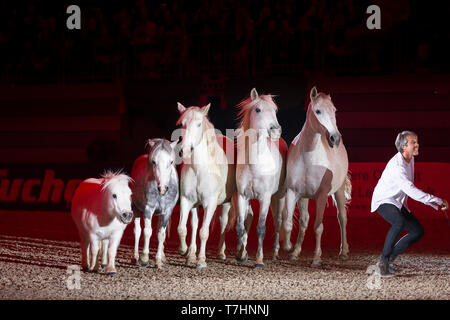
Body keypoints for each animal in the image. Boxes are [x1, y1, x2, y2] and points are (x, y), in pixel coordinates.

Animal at [129, 139, 178, 268]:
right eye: (154, 162)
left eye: (171, 161)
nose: (162, 188)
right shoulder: (148, 209)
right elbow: (147, 232)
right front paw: (145, 258)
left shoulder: (167, 212)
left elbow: (161, 234)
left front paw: (159, 260)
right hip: (136, 209)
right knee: (137, 231)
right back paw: (136, 257)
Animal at [177, 102, 237, 268]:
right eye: (182, 124)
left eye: (199, 124)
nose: (184, 150)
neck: (199, 169)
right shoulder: (186, 200)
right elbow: (182, 228)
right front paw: (185, 251)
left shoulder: (210, 203)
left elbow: (204, 232)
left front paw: (201, 260)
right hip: (196, 205)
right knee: (194, 224)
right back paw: (191, 254)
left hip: (226, 202)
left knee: (223, 223)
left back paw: (222, 253)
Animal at [234, 88, 286, 268]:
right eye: (258, 110)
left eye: (275, 110)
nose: (276, 130)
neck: (255, 164)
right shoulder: (242, 196)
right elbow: (241, 226)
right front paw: (241, 254)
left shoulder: (265, 198)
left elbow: (261, 228)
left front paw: (259, 260)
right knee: (248, 218)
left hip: (279, 197)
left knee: (278, 222)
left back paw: (276, 253)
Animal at [284, 85, 354, 264]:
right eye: (318, 111)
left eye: (334, 110)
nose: (335, 138)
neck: (308, 158)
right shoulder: (294, 193)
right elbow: (291, 223)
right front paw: (290, 249)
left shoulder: (322, 196)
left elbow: (318, 227)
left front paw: (316, 256)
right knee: (305, 221)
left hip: (338, 191)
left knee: (342, 217)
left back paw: (344, 251)